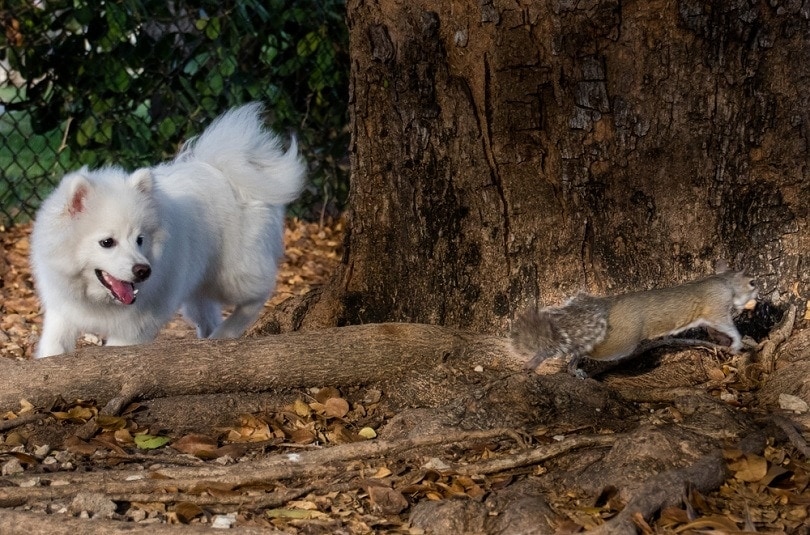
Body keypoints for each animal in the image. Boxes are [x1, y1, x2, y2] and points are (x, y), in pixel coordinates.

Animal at [29, 102, 304, 358]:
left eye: (140, 239)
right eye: (107, 242)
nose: (143, 271)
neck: (97, 299)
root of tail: (223, 171)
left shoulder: (131, 331)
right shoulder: (62, 315)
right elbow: (53, 349)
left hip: (233, 275)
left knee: (258, 295)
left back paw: (226, 333)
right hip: (199, 289)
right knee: (209, 317)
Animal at [512, 270, 756, 378]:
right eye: (752, 282)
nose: (759, 291)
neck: (724, 281)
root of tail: (606, 305)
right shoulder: (716, 309)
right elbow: (727, 326)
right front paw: (736, 342)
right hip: (621, 343)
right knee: (580, 348)